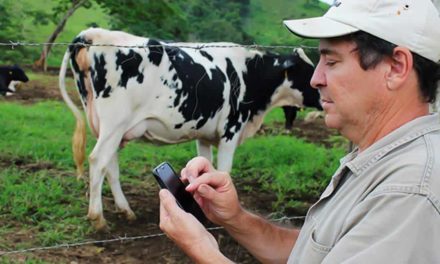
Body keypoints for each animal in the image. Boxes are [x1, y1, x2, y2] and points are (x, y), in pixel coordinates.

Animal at [58, 27, 320, 229]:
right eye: (308, 72)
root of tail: (92, 33)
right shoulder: (231, 130)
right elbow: (224, 171)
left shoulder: (204, 135)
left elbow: (206, 165)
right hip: (115, 122)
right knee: (98, 160)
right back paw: (98, 218)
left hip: (108, 127)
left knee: (110, 165)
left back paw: (126, 210)